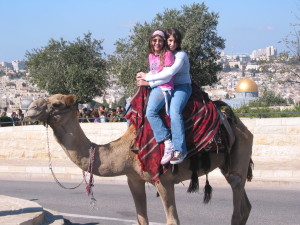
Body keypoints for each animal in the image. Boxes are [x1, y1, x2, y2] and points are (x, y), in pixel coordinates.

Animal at [27, 93, 253, 225]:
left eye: (57, 104)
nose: (30, 109)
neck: (127, 150)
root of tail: (236, 121)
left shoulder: (163, 181)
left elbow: (172, 221)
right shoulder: (133, 179)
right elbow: (141, 219)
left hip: (240, 153)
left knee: (237, 205)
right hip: (227, 164)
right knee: (245, 204)